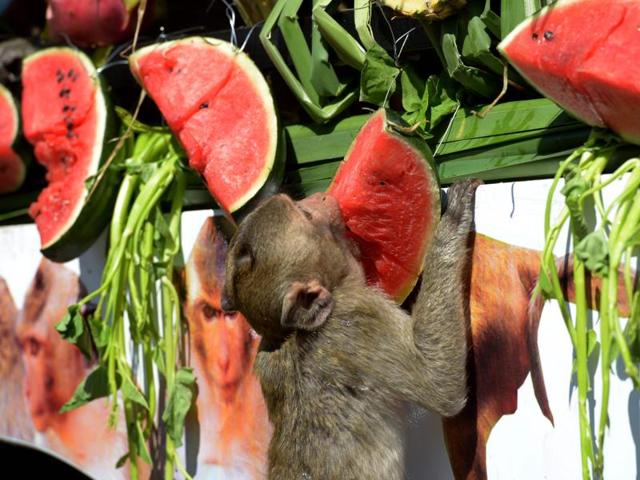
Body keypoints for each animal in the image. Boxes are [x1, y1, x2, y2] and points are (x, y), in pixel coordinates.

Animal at [221, 179, 481, 480]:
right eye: (307, 216)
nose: (321, 196)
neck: (288, 335)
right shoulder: (357, 316)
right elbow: (440, 383)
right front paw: (453, 221)